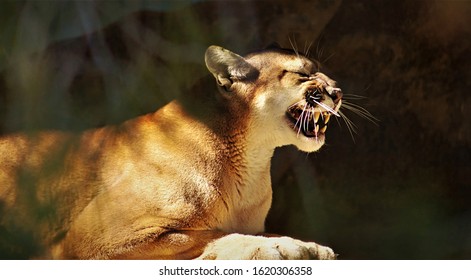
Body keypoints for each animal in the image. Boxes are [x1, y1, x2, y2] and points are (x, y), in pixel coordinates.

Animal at [0, 44, 342, 260]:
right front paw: (283, 247)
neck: (250, 158)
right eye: (302, 74)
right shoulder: (91, 239)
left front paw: (306, 246)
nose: (337, 91)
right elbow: (209, 234)